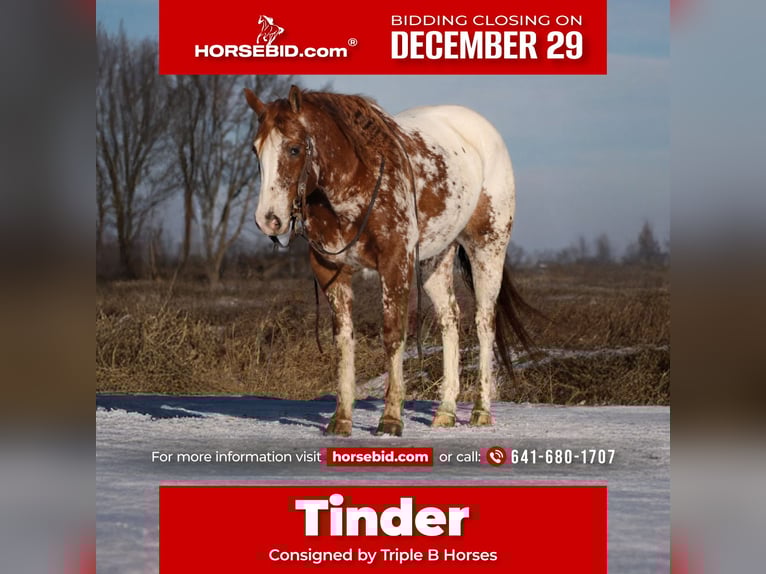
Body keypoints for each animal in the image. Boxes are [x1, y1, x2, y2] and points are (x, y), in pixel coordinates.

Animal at [244, 85, 536, 436]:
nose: (268, 220)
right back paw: (446, 411)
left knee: (484, 323)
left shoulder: (395, 263)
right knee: (450, 320)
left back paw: (480, 411)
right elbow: (344, 339)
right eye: (256, 150)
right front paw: (341, 419)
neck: (358, 180)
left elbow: (393, 334)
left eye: (294, 148)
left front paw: (391, 418)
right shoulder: (331, 270)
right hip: (436, 259)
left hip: (487, 249)